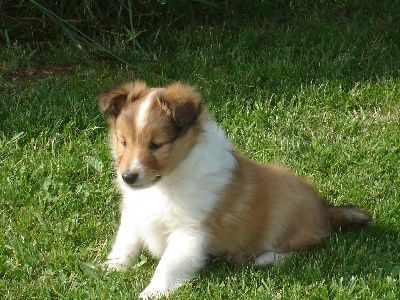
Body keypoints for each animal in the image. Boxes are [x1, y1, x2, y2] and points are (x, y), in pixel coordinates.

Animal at [98, 79, 370, 298]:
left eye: (156, 145)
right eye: (123, 141)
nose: (128, 177)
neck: (167, 181)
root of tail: (323, 210)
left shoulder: (190, 231)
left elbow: (168, 266)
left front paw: (150, 293)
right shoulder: (134, 214)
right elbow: (125, 243)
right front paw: (109, 269)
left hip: (288, 211)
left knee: (301, 245)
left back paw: (265, 259)